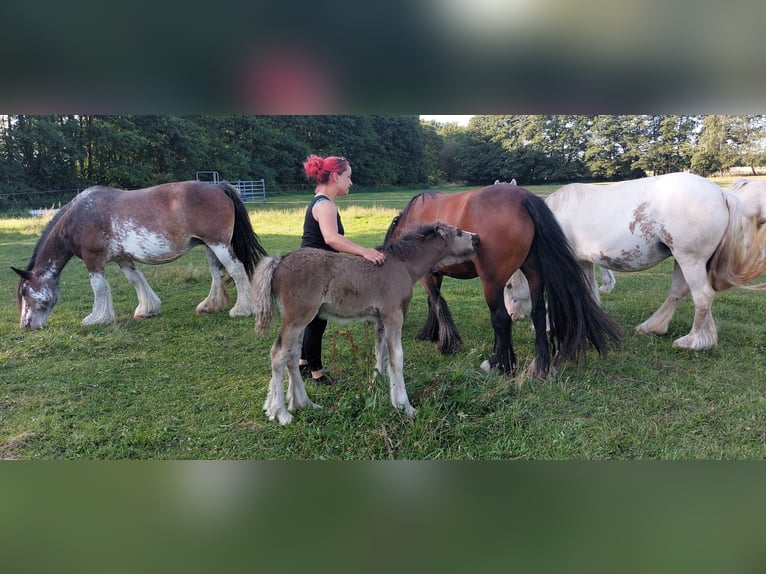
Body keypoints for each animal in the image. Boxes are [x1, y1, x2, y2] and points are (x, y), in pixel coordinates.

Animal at [11, 182, 270, 330]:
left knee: (236, 271)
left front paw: (97, 318)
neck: (80, 215)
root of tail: (218, 187)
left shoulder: (93, 259)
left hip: (218, 244)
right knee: (218, 273)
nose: (26, 325)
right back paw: (209, 306)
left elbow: (99, 288)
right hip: (209, 245)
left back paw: (242, 309)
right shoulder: (122, 258)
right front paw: (147, 309)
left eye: (25, 292)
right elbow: (136, 280)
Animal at [252, 223, 480, 426]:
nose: (477, 238)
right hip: (296, 319)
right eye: (459, 232)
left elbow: (381, 352)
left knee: (292, 356)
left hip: (302, 321)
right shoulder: (393, 315)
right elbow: (397, 357)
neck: (402, 265)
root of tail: (279, 261)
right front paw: (405, 406)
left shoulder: (380, 319)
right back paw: (282, 413)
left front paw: (378, 386)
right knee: (278, 355)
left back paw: (304, 403)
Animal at [384, 184, 624, 380]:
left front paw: (447, 343)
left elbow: (436, 301)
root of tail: (523, 198)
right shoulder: (436, 273)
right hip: (534, 274)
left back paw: (499, 365)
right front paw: (431, 333)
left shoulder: (427, 275)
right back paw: (540, 367)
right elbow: (434, 302)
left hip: (492, 282)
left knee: (500, 318)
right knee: (538, 313)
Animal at [504, 171, 766, 352]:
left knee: (702, 296)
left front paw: (549, 324)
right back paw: (654, 327)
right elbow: (589, 292)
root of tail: (721, 193)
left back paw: (694, 341)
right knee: (678, 292)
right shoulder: (583, 262)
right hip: (683, 260)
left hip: (689, 259)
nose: (513, 316)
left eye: (508, 285)